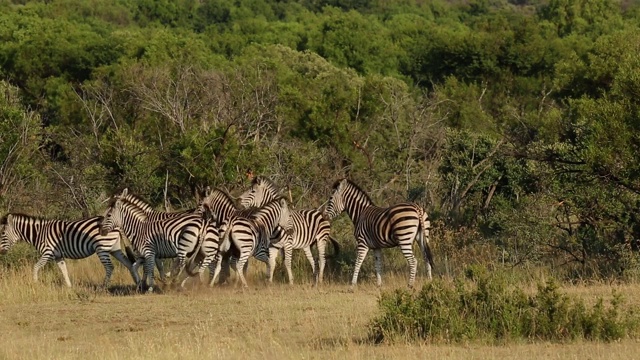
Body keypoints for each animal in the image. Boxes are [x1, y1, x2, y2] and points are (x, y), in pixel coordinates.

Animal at [0, 212, 139, 288]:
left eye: (2, 233)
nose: (1, 252)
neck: (39, 233)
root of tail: (117, 225)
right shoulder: (58, 256)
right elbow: (64, 271)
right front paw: (69, 287)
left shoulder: (48, 252)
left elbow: (35, 267)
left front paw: (34, 284)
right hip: (114, 248)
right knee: (129, 263)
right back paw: (138, 283)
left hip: (102, 248)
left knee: (110, 267)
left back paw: (103, 287)